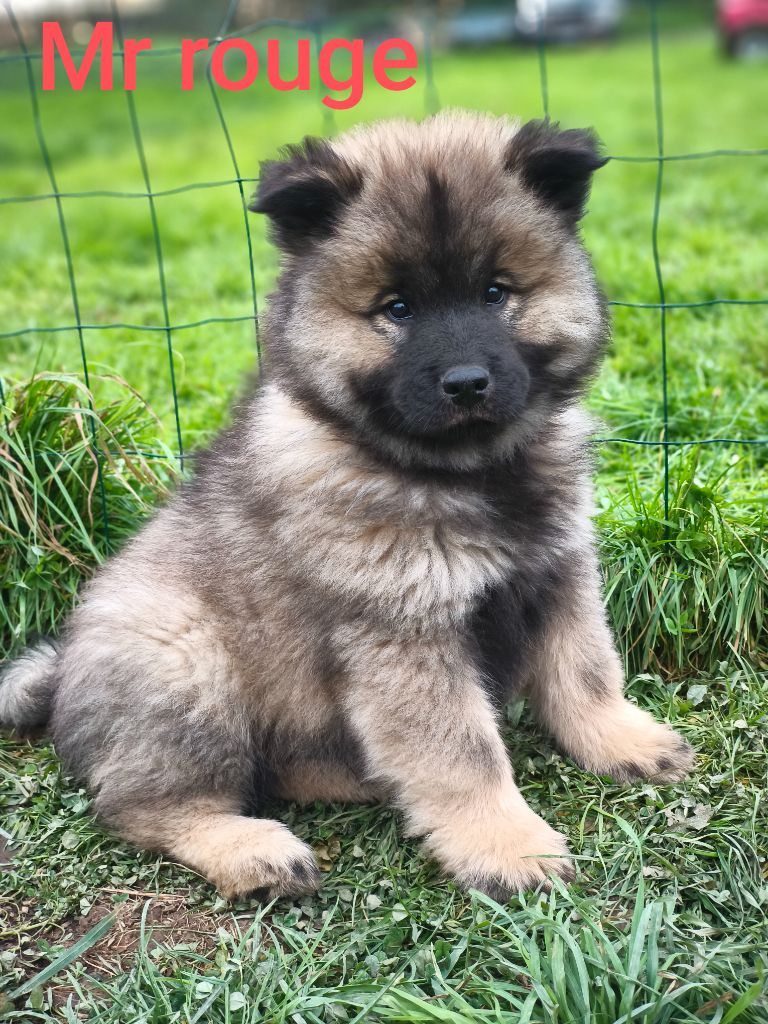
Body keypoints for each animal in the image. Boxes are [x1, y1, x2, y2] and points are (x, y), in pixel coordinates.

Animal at [0, 110, 696, 897]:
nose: (466, 382)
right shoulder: (402, 631)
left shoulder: (560, 573)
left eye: (496, 293)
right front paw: (509, 847)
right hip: (189, 669)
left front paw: (625, 741)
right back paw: (254, 851)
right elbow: (465, 752)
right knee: (140, 805)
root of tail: (60, 675)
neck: (461, 473)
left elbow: (586, 672)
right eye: (396, 309)